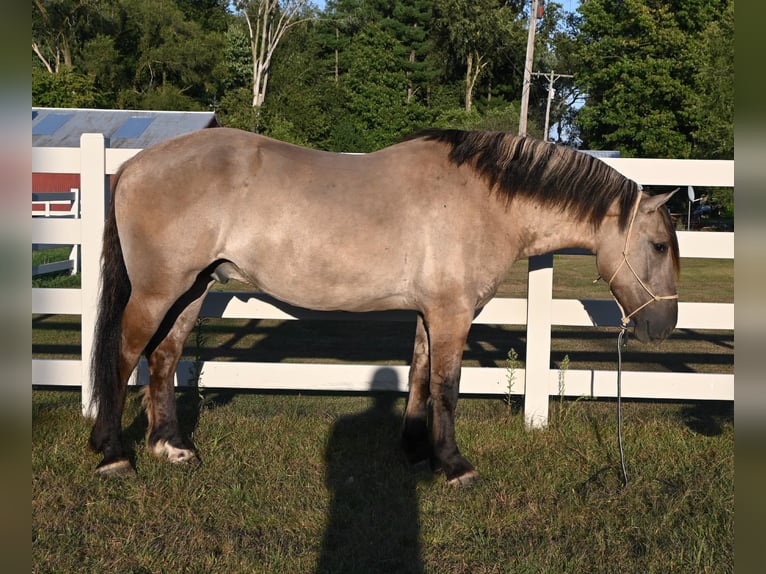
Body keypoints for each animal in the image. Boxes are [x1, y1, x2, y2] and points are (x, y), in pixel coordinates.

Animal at [88, 128, 679, 484]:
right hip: (158, 291)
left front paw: (417, 451)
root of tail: (136, 164)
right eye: (658, 246)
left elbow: (418, 378)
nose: (664, 326)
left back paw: (170, 446)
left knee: (164, 358)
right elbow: (446, 387)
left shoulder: (429, 312)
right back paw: (114, 453)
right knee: (122, 357)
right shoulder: (452, 313)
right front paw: (454, 465)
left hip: (194, 290)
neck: (485, 202)